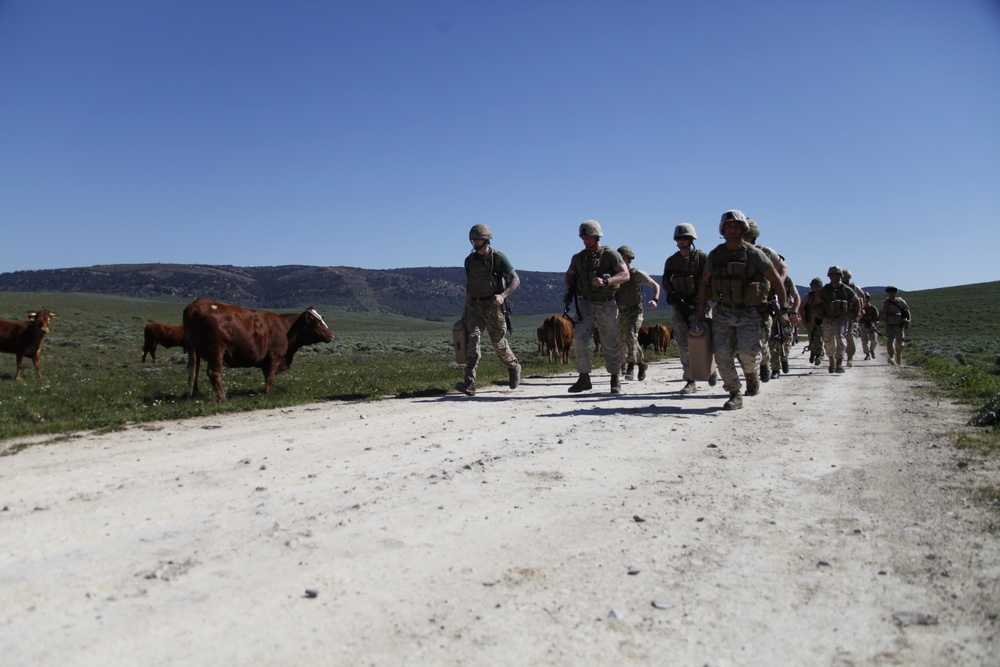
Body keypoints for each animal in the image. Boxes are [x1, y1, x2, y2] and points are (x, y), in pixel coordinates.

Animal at [182, 298, 334, 402]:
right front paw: (269, 394)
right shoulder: (274, 356)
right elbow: (270, 376)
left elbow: (267, 376)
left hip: (195, 351)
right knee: (213, 373)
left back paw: (196, 395)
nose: (331, 335)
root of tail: (196, 303)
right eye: (317, 321)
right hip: (216, 350)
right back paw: (223, 398)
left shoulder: (265, 361)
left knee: (194, 371)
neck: (285, 327)